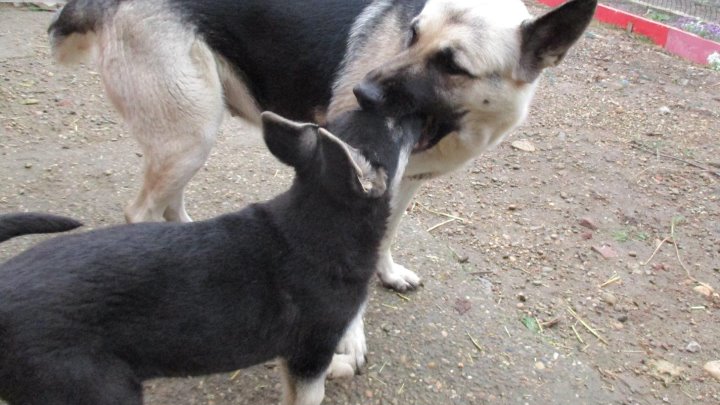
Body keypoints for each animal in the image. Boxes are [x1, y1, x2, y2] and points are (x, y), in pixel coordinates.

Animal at [0, 109, 424, 404]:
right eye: (394, 126)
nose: (420, 113)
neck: (318, 219)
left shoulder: (302, 353)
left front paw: (339, 366)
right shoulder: (311, 346)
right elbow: (309, 393)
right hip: (99, 388)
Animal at [49, 0, 596, 372]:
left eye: (452, 64)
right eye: (411, 34)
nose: (362, 92)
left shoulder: (402, 181)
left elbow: (385, 236)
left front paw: (387, 273)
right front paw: (349, 338)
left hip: (193, 133)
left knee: (169, 201)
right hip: (190, 132)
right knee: (141, 209)